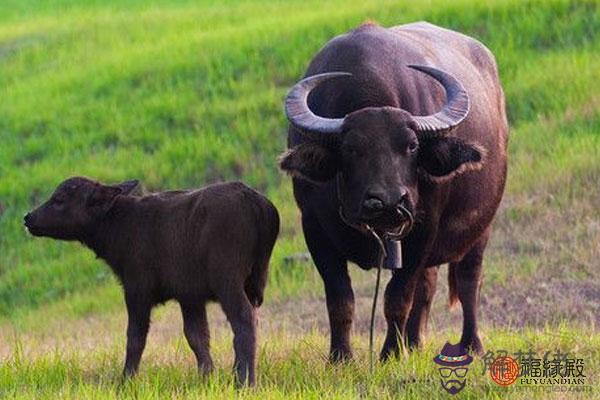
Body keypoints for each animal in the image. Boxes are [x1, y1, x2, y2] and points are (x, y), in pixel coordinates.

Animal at [24, 177, 282, 384]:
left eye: (59, 199)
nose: (28, 217)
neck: (121, 226)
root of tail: (258, 204)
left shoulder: (137, 289)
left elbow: (135, 337)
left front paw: (126, 381)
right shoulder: (189, 296)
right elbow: (197, 336)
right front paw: (206, 378)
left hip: (227, 279)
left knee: (243, 319)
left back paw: (244, 381)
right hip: (254, 280)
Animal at [278, 20, 508, 360]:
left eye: (412, 146)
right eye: (350, 148)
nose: (388, 202)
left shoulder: (422, 227)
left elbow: (397, 297)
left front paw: (390, 354)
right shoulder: (315, 229)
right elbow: (340, 300)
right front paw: (340, 357)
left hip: (482, 227)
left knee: (469, 280)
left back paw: (470, 345)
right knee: (428, 284)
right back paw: (414, 341)